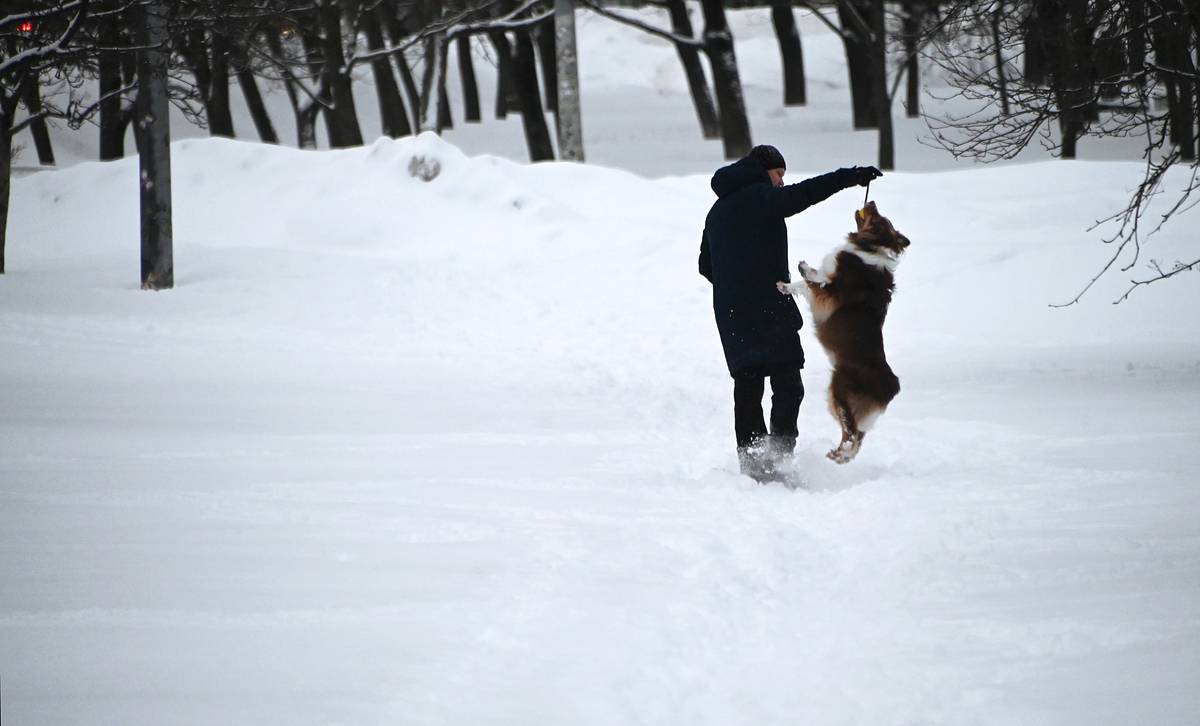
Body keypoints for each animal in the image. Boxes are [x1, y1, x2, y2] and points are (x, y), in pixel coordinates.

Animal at [777, 202, 907, 463]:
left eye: (878, 218)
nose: (871, 202)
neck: (871, 248)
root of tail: (891, 386)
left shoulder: (829, 297)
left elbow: (808, 285)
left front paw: (786, 285)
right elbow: (815, 276)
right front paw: (805, 267)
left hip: (839, 390)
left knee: (852, 434)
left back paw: (838, 454)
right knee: (857, 437)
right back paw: (839, 456)